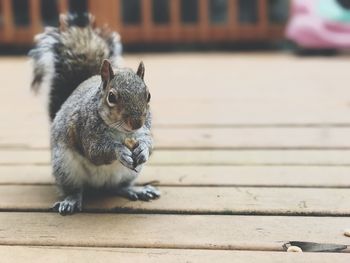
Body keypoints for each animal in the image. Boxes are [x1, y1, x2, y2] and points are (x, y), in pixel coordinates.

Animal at [29, 13, 160, 216]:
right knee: (75, 189)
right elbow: (95, 152)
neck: (122, 133)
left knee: (118, 187)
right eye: (111, 97)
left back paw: (135, 189)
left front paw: (143, 149)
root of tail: (99, 185)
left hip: (128, 173)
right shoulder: (85, 129)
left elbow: (149, 143)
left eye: (148, 95)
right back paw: (71, 200)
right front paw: (119, 150)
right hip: (65, 167)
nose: (136, 123)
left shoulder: (144, 129)